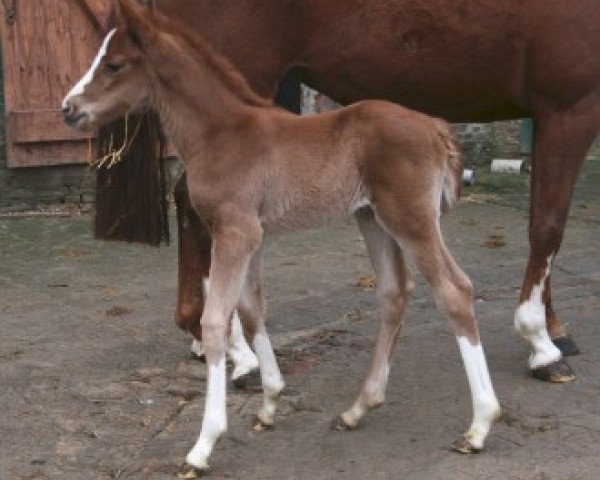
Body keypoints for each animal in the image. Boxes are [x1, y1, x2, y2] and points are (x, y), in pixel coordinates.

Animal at [63, 0, 500, 470]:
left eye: (113, 64)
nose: (68, 109)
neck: (220, 134)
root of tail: (436, 126)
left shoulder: (234, 232)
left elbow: (215, 321)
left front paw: (204, 444)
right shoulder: (252, 235)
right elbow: (252, 308)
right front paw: (270, 400)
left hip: (411, 219)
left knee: (454, 290)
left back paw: (479, 425)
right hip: (372, 219)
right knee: (393, 293)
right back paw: (358, 408)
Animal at [101, 0, 596, 382]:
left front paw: (553, 329)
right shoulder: (569, 108)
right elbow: (547, 227)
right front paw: (541, 343)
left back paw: (205, 340)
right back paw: (238, 354)